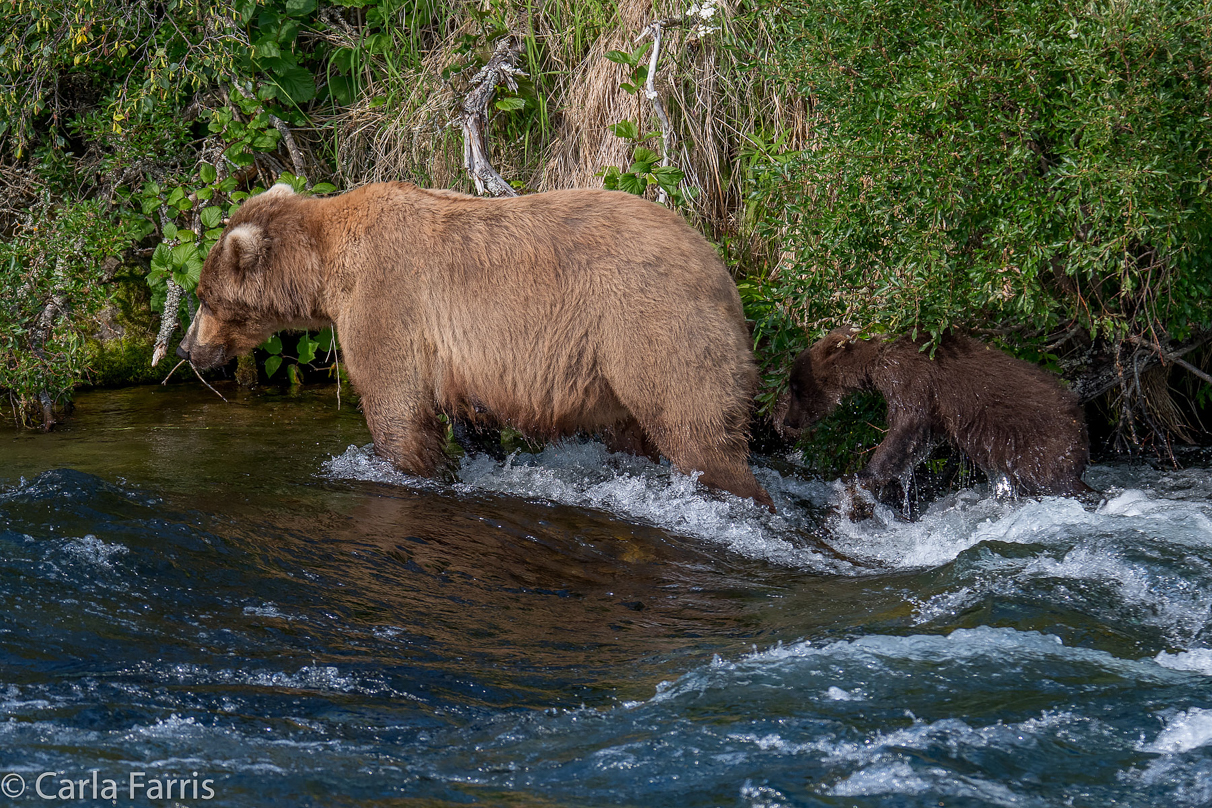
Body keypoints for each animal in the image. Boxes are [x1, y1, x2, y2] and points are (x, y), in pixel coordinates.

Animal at [175, 185, 770, 506]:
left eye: (202, 296)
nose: (185, 348)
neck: (327, 267)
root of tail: (717, 265)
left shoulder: (387, 302)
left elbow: (397, 408)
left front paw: (418, 471)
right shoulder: (461, 360)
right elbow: (470, 418)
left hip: (652, 326)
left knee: (697, 428)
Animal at [780, 329, 1095, 499]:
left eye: (796, 387)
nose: (788, 421)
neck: (874, 362)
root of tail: (1080, 417)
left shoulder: (911, 378)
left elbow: (905, 425)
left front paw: (863, 472)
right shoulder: (935, 411)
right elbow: (920, 440)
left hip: (1042, 443)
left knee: (1054, 479)